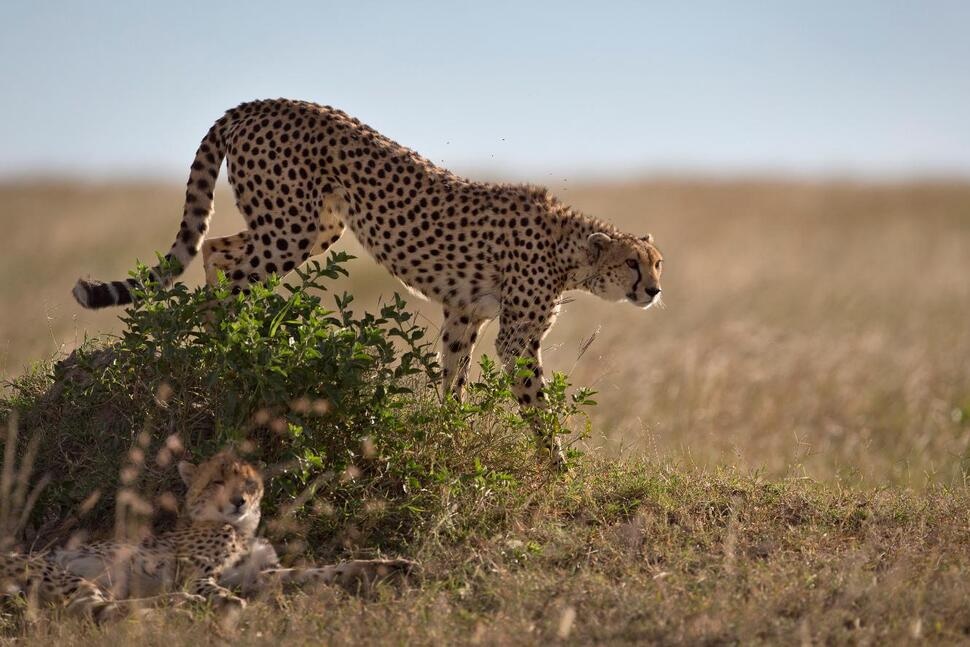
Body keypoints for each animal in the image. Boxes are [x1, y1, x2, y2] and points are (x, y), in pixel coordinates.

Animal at [0, 451, 414, 622]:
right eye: (216, 481)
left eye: (248, 483)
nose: (238, 501)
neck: (240, 528)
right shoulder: (197, 574)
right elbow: (214, 588)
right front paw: (231, 604)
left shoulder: (258, 574)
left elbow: (318, 571)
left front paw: (385, 566)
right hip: (60, 573)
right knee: (95, 609)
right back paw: (184, 606)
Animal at [71, 99, 664, 458]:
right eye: (633, 263)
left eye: (658, 263)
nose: (655, 290)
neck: (571, 251)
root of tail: (262, 102)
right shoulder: (516, 338)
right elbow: (535, 404)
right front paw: (555, 463)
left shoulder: (464, 314)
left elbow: (453, 378)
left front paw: (447, 432)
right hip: (291, 226)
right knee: (231, 271)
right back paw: (226, 346)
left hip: (312, 226)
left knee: (216, 250)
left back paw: (231, 337)